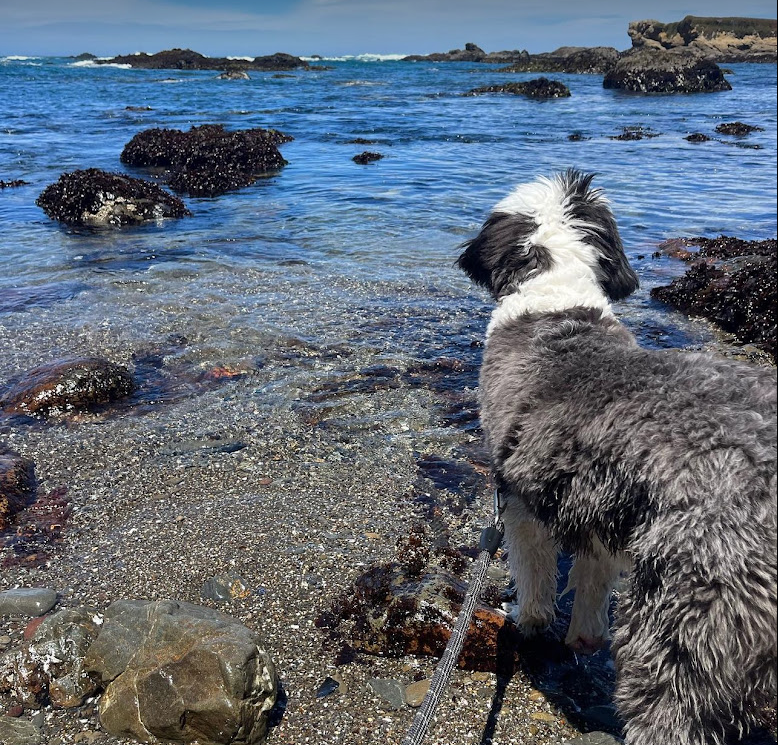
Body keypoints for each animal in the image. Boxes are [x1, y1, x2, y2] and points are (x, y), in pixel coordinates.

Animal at [458, 171, 772, 744]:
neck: (555, 298)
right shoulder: (599, 506)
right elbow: (593, 573)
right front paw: (584, 635)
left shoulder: (519, 496)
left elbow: (534, 570)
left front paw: (528, 616)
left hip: (689, 621)